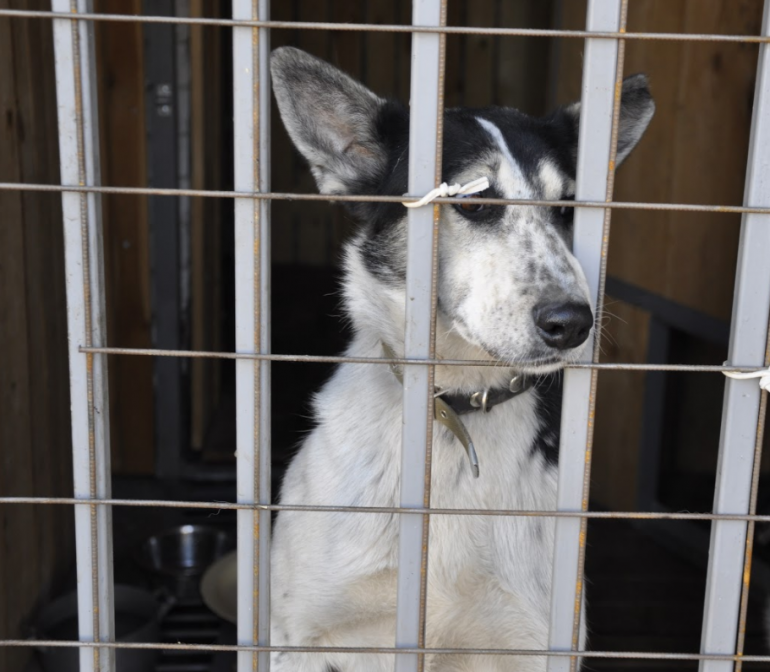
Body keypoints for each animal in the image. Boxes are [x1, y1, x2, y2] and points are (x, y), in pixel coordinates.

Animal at [268, 48, 652, 672]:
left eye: (568, 208)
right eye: (475, 200)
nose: (573, 323)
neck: (457, 406)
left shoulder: (531, 640)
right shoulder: (300, 637)